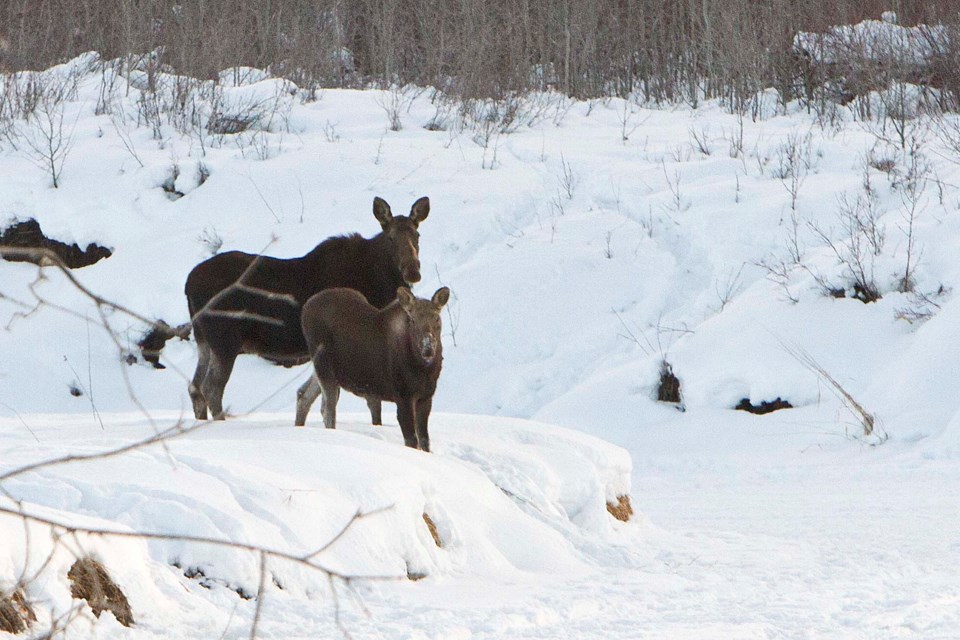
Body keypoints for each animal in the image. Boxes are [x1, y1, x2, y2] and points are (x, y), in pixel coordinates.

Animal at [185, 198, 432, 422]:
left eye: (417, 236)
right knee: (211, 388)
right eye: (390, 237)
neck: (379, 282)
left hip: (203, 340)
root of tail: (188, 284)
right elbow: (366, 400)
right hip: (224, 339)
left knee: (195, 387)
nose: (413, 272)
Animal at [298, 288, 452, 452]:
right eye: (412, 320)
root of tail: (305, 308)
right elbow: (412, 441)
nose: (428, 348)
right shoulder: (403, 396)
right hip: (324, 366)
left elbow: (425, 441)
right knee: (327, 411)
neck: (425, 370)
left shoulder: (426, 397)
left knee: (303, 395)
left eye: (437, 319)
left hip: (323, 371)